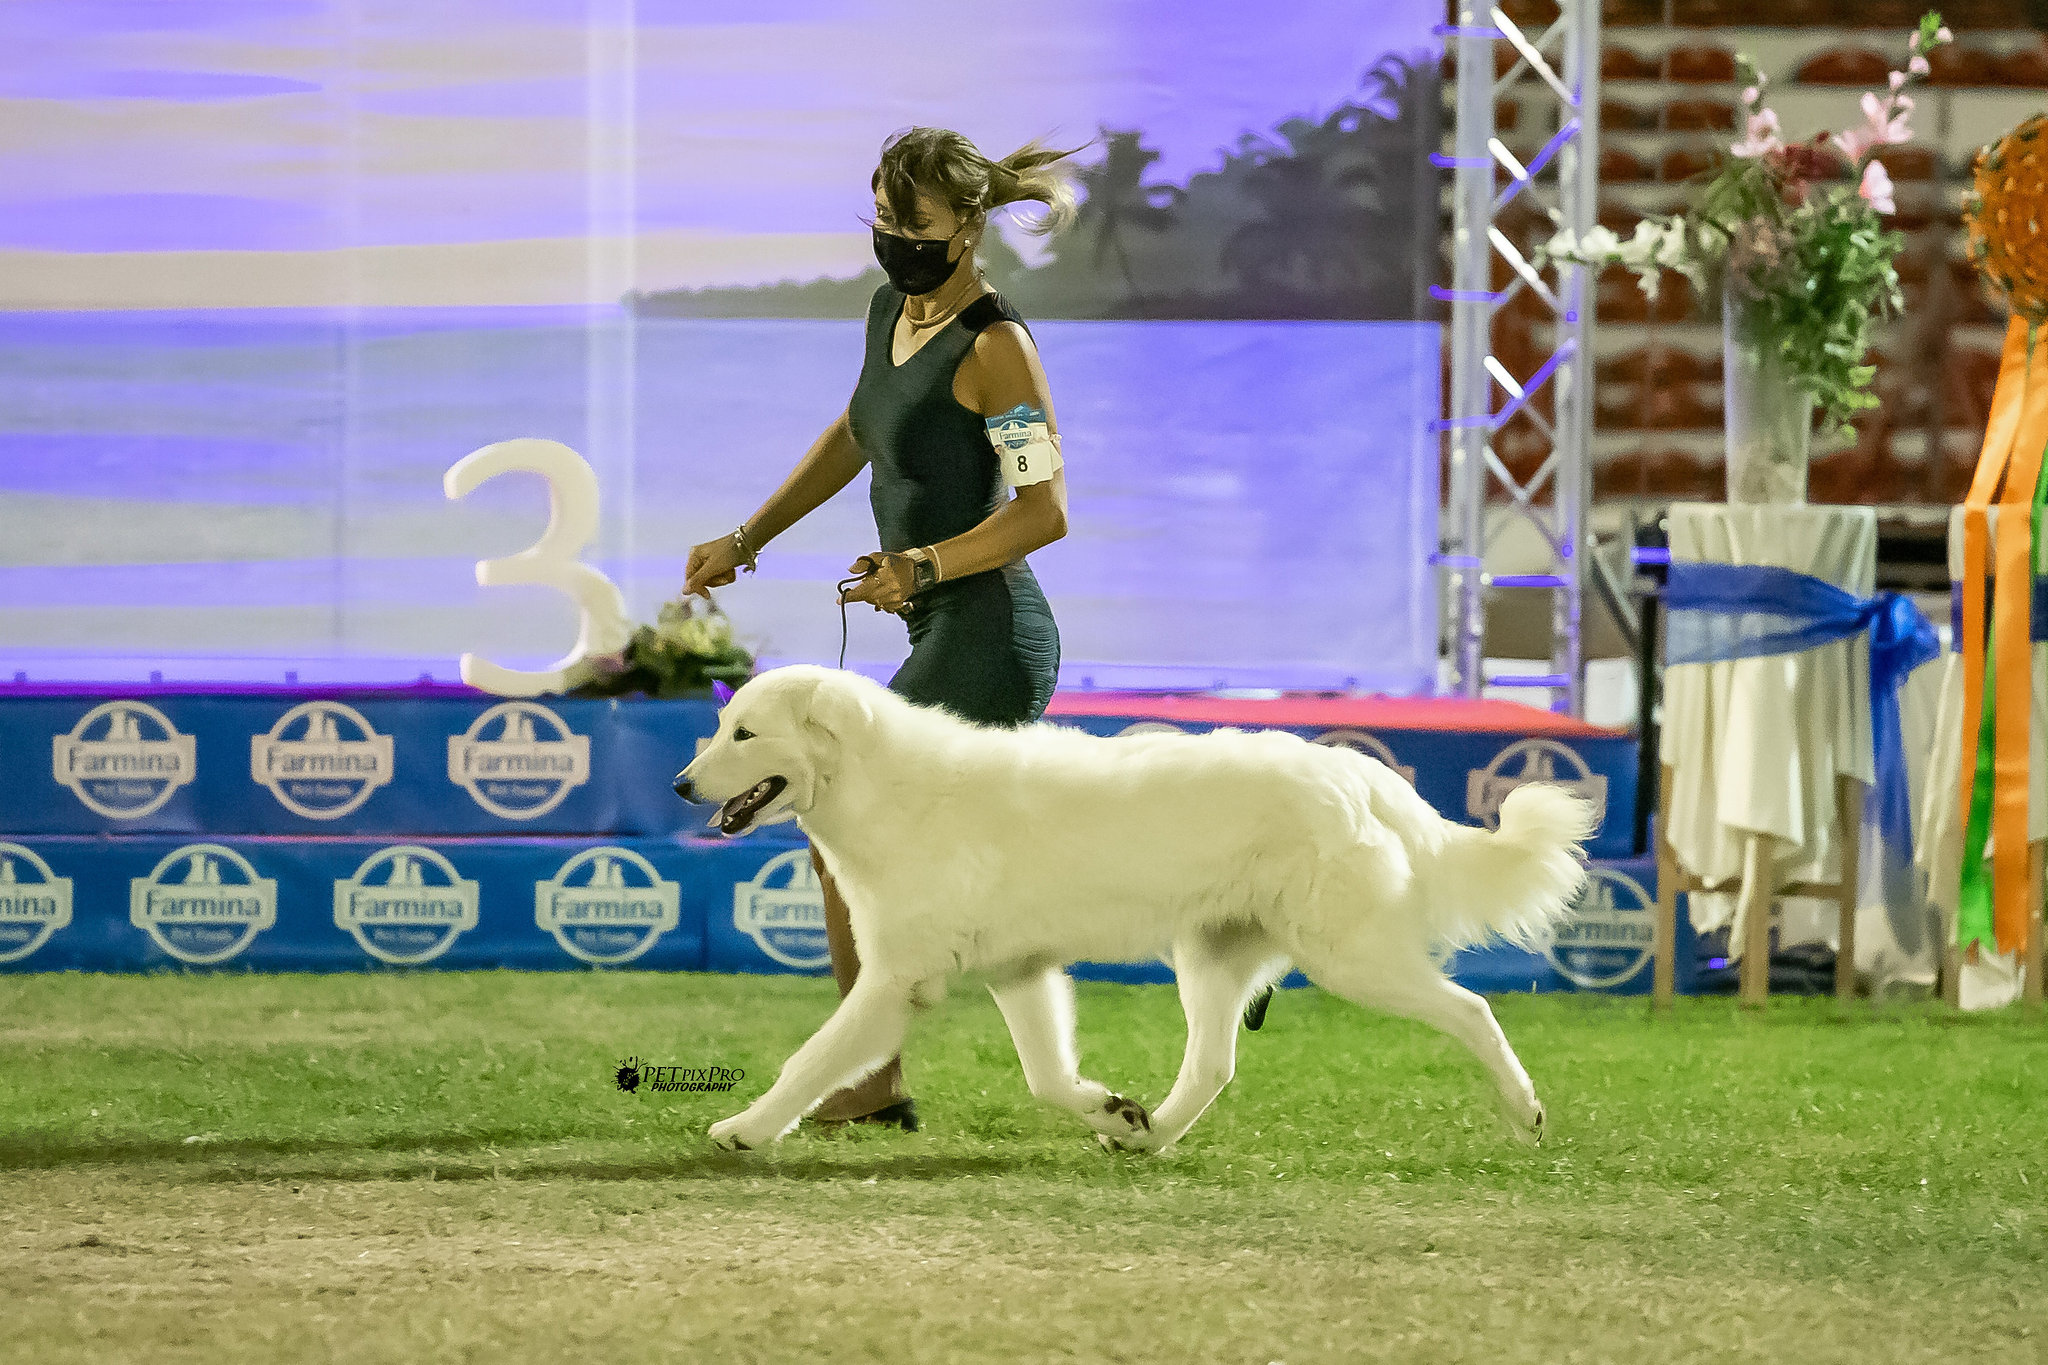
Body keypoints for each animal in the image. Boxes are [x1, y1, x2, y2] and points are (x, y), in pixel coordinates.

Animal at [676, 664, 1597, 1154]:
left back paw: (1526, 1110)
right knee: (1214, 1065)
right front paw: (1111, 1107)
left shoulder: (897, 981)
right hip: (1214, 960)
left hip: (1353, 959)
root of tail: (1359, 771)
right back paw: (1146, 1135)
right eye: (720, 726)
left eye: (744, 734)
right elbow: (1048, 1076)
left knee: (1472, 1008)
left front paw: (745, 1128)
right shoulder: (1021, 973)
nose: (682, 784)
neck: (891, 790)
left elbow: (811, 1060)